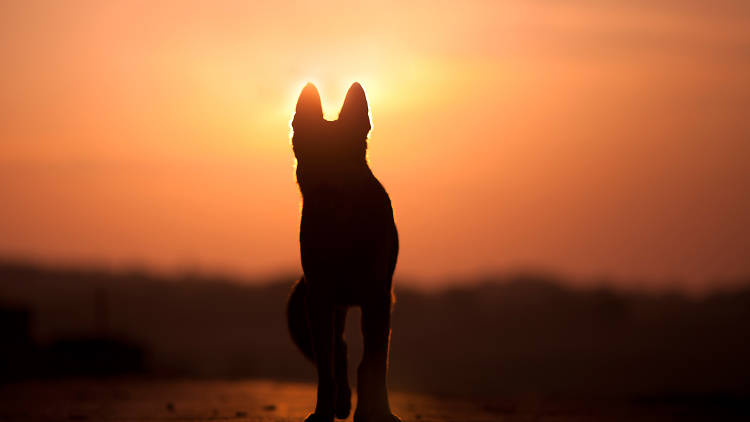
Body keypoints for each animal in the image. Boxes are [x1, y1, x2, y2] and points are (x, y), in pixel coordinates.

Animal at [286, 83, 400, 422]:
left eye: (345, 159)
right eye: (311, 157)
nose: (327, 192)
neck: (343, 227)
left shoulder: (378, 299)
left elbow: (375, 362)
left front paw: (378, 411)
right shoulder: (320, 300)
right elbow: (327, 366)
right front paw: (323, 412)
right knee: (340, 352)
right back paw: (341, 402)